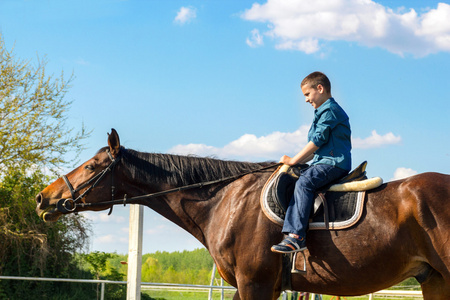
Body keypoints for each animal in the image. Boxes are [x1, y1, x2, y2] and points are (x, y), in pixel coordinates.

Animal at [36, 130, 450, 298]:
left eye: (92, 166)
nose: (43, 198)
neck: (224, 199)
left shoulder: (256, 284)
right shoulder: (252, 287)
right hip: (435, 280)